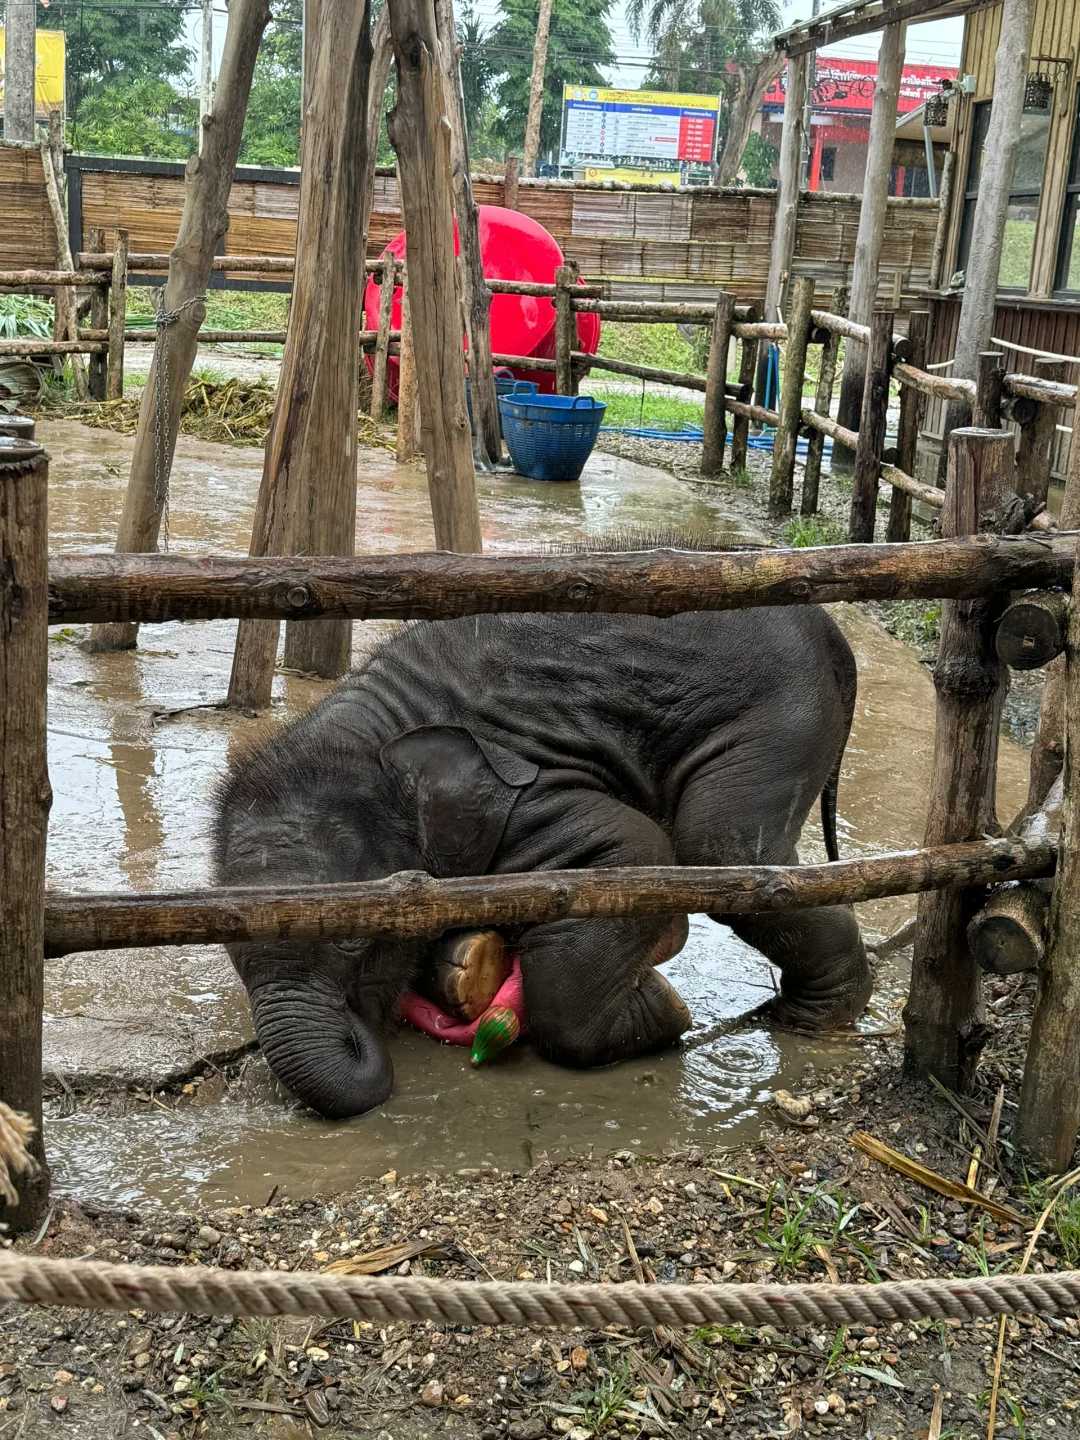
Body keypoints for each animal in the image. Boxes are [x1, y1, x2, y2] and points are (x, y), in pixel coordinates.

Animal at [216, 601, 875, 1117]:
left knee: (721, 843)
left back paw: (808, 1018)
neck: (365, 731)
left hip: (783, 715)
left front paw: (665, 1009)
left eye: (354, 939)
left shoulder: (527, 792)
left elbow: (633, 849)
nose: (364, 1035)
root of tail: (832, 632)